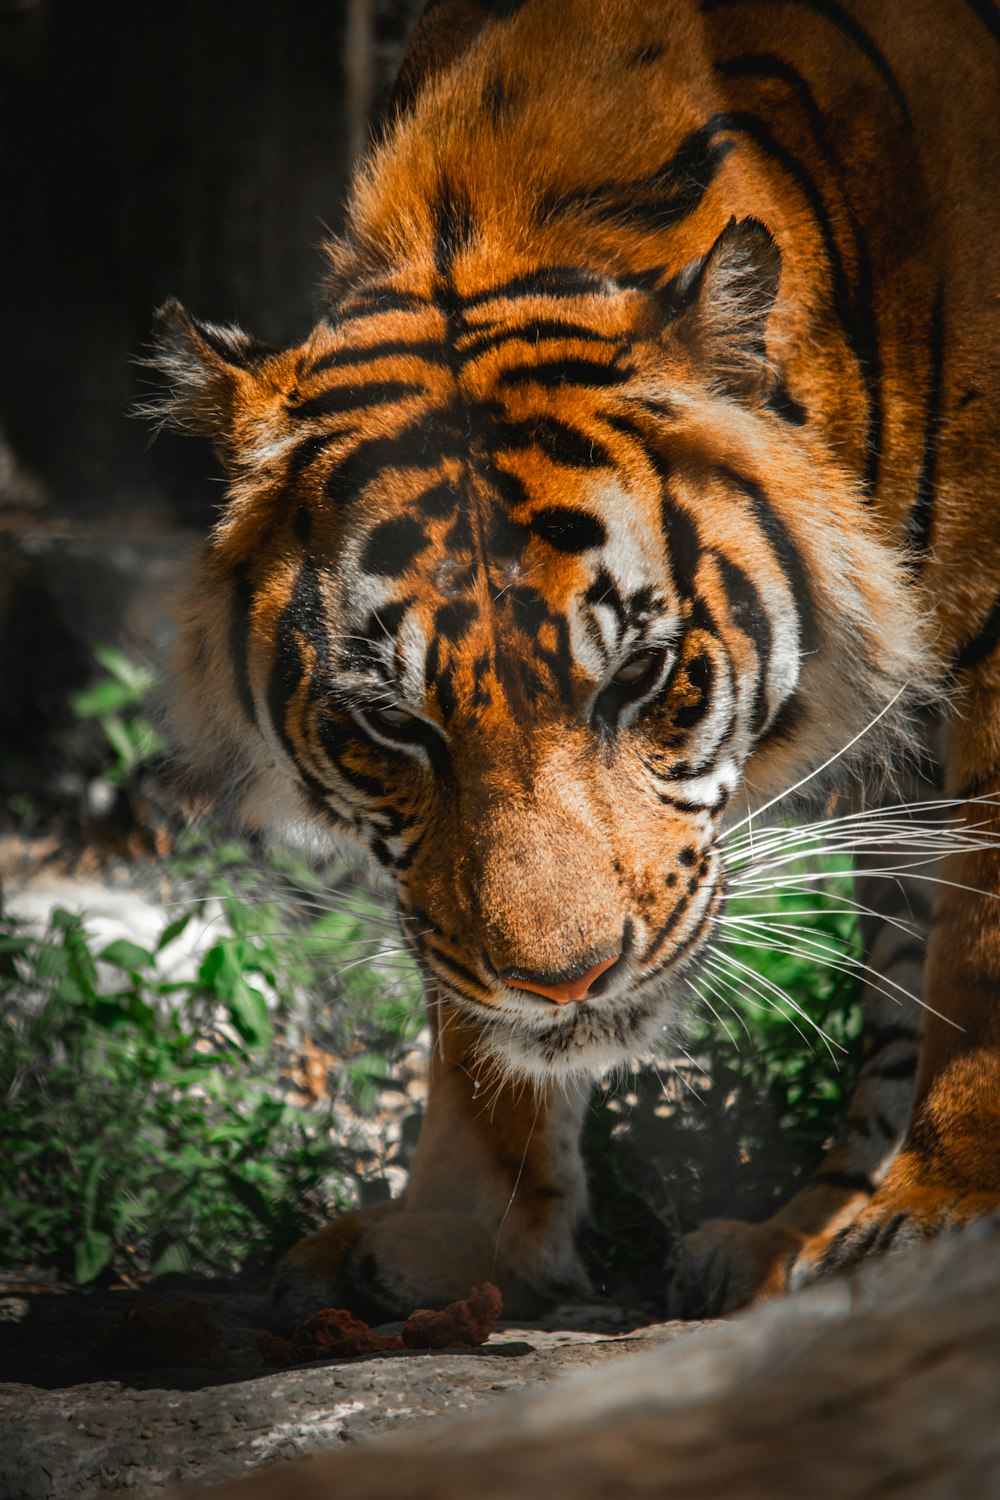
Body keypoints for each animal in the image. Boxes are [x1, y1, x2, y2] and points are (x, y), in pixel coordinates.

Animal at [146, 0, 1000, 1320]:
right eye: (393, 726)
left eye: (641, 679)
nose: (564, 987)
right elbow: (458, 1004)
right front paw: (457, 1231)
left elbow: (982, 954)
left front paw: (942, 1214)